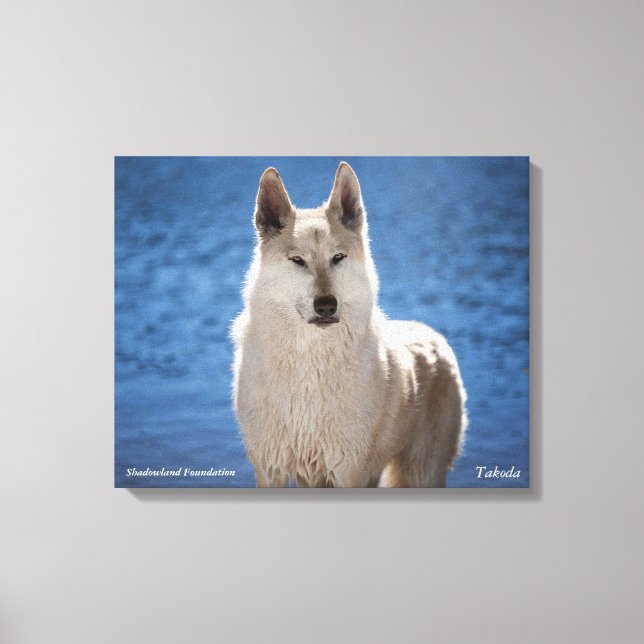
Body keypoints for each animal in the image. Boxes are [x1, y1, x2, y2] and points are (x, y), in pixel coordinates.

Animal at [231, 162, 467, 487]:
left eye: (338, 257)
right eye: (298, 260)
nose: (326, 306)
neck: (309, 366)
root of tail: (430, 333)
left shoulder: (347, 471)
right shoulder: (270, 470)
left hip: (421, 472)